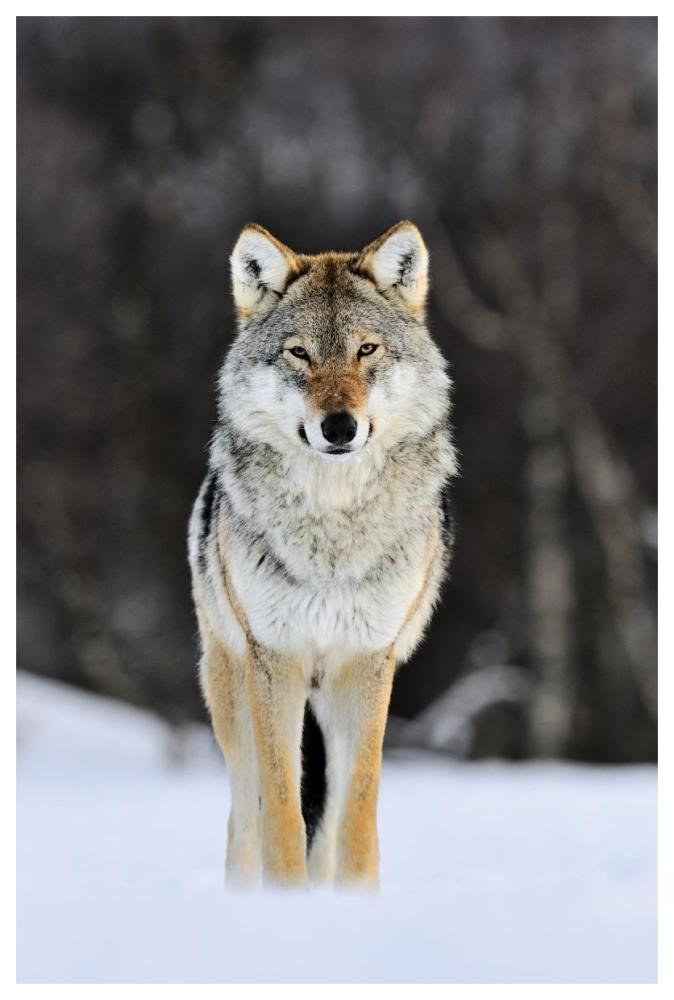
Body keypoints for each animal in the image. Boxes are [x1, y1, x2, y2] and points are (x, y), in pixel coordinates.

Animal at [188, 220, 457, 889]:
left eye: (366, 350)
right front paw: (287, 903)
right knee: (244, 817)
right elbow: (282, 814)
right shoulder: (275, 662)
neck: (332, 538)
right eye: (300, 354)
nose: (339, 427)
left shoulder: (367, 665)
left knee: (329, 821)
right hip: (230, 693)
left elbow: (356, 818)